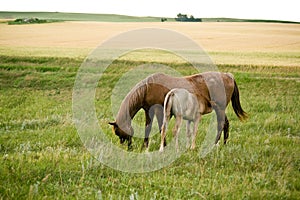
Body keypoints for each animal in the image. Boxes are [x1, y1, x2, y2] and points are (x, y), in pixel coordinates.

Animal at [109, 72, 247, 150]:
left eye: (118, 132)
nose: (128, 147)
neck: (148, 88)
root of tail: (228, 76)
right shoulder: (148, 111)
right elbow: (148, 128)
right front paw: (145, 146)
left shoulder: (159, 111)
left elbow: (161, 128)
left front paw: (164, 146)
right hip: (220, 109)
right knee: (226, 123)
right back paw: (223, 143)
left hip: (220, 109)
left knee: (221, 124)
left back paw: (215, 144)